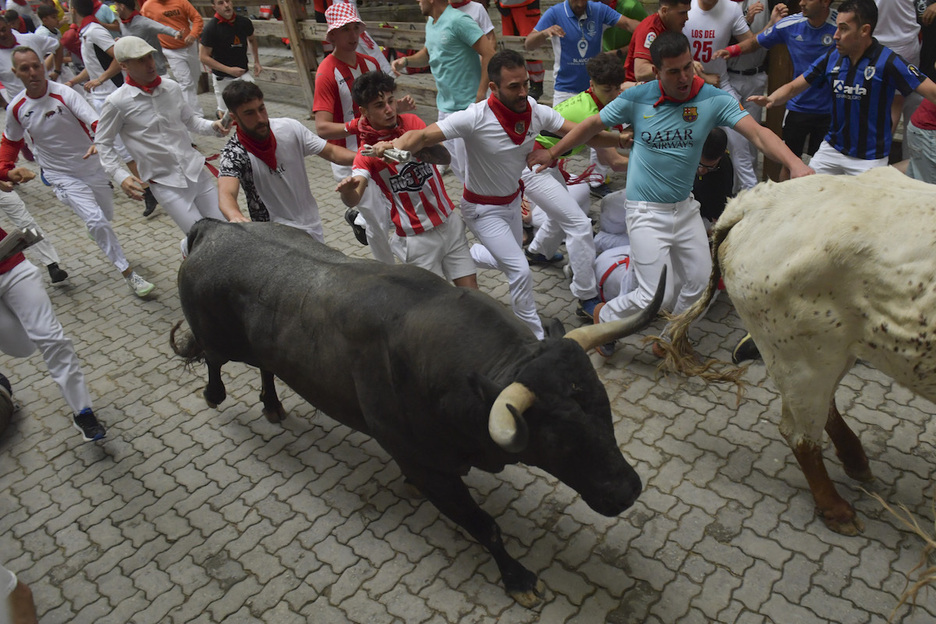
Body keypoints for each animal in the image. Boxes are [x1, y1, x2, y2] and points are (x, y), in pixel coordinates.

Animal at [170, 219, 664, 604]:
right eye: (558, 436)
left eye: (604, 408)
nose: (627, 490)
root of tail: (216, 228)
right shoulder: (433, 471)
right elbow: (485, 526)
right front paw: (518, 578)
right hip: (219, 338)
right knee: (213, 358)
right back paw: (215, 394)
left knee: (265, 366)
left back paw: (272, 405)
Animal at [660, 167, 936, 536]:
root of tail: (754, 202)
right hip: (804, 358)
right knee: (801, 435)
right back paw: (837, 510)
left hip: (827, 351)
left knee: (824, 409)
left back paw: (855, 461)